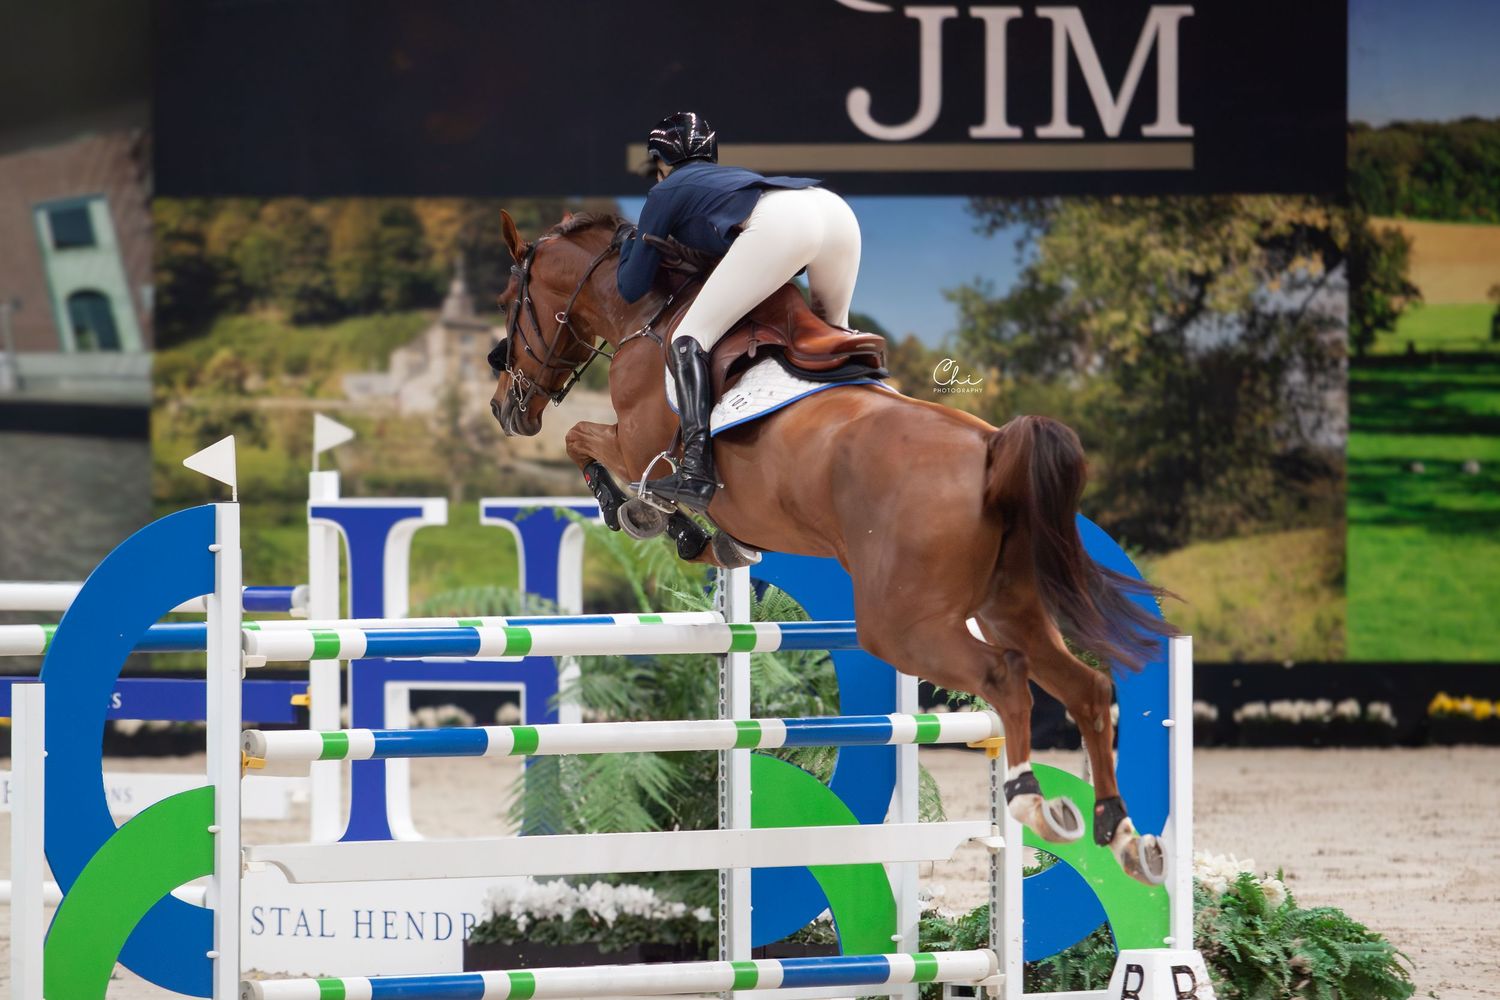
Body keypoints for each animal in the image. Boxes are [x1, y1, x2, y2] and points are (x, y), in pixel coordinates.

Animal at [486, 209, 1178, 886]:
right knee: (1087, 688)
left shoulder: (636, 445)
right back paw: (1123, 837)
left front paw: (645, 516)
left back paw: (1034, 801)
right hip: (1010, 605)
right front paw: (704, 538)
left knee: (1006, 676)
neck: (645, 315)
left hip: (903, 626)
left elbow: (582, 439)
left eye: (506, 301)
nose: (504, 409)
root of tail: (992, 450)